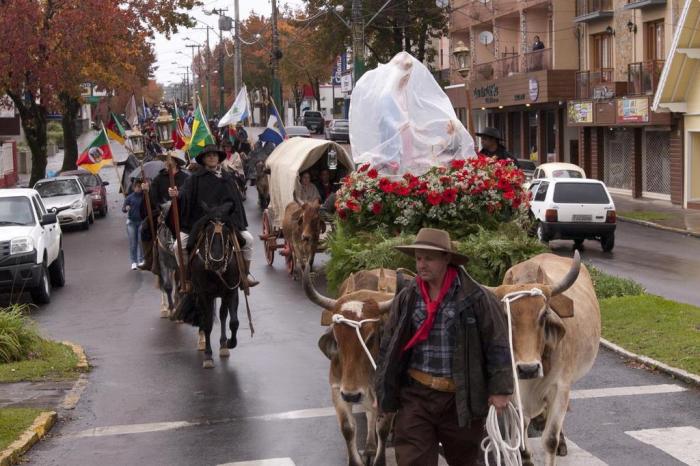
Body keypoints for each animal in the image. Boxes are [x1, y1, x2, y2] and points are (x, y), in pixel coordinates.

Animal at [172, 203, 241, 368]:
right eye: (208, 231)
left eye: (227, 231)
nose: (216, 261)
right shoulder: (204, 294)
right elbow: (208, 322)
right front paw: (208, 355)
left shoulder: (231, 292)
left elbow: (234, 321)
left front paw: (230, 343)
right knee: (205, 317)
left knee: (222, 315)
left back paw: (223, 345)